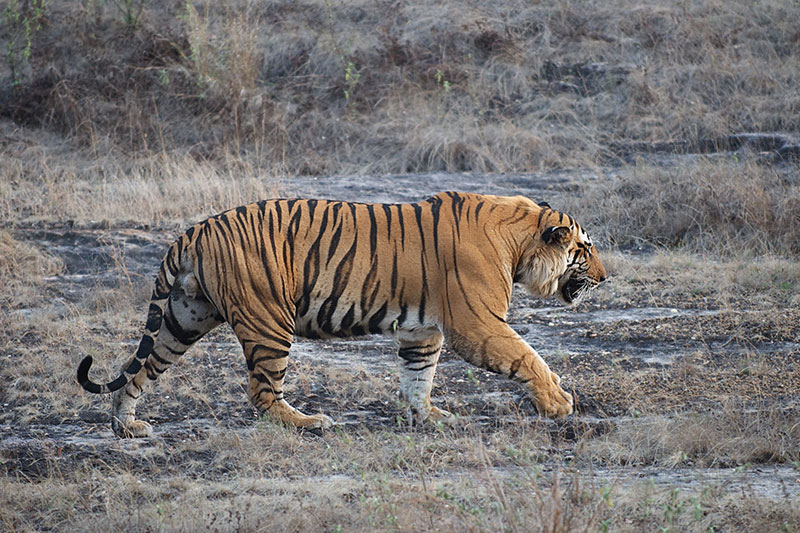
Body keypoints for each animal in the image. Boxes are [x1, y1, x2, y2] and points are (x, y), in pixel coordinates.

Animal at [78, 191, 608, 436]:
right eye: (585, 250)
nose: (605, 278)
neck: (520, 240)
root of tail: (196, 228)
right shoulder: (476, 326)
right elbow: (527, 356)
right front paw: (559, 403)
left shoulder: (423, 332)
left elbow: (418, 376)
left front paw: (429, 416)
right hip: (269, 322)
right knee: (261, 392)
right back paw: (308, 423)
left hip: (184, 318)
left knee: (139, 370)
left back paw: (126, 426)